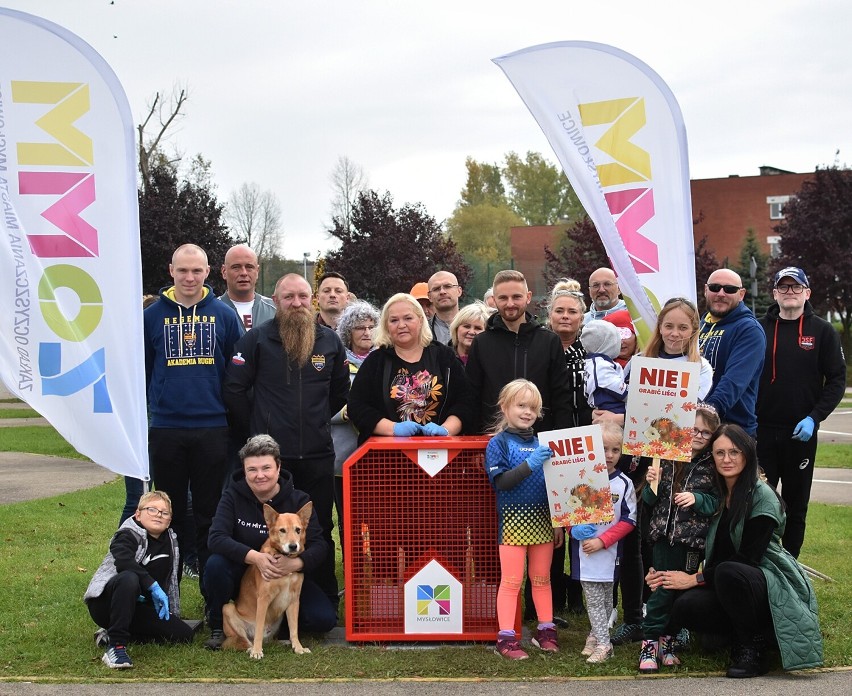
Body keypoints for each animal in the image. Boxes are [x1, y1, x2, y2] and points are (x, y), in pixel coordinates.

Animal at [221, 500, 312, 656]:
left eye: (298, 530)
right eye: (282, 530)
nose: (293, 546)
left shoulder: (294, 600)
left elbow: (294, 629)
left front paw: (298, 647)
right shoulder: (263, 598)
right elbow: (259, 626)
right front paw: (257, 651)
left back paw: (284, 642)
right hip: (228, 608)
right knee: (244, 640)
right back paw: (252, 648)